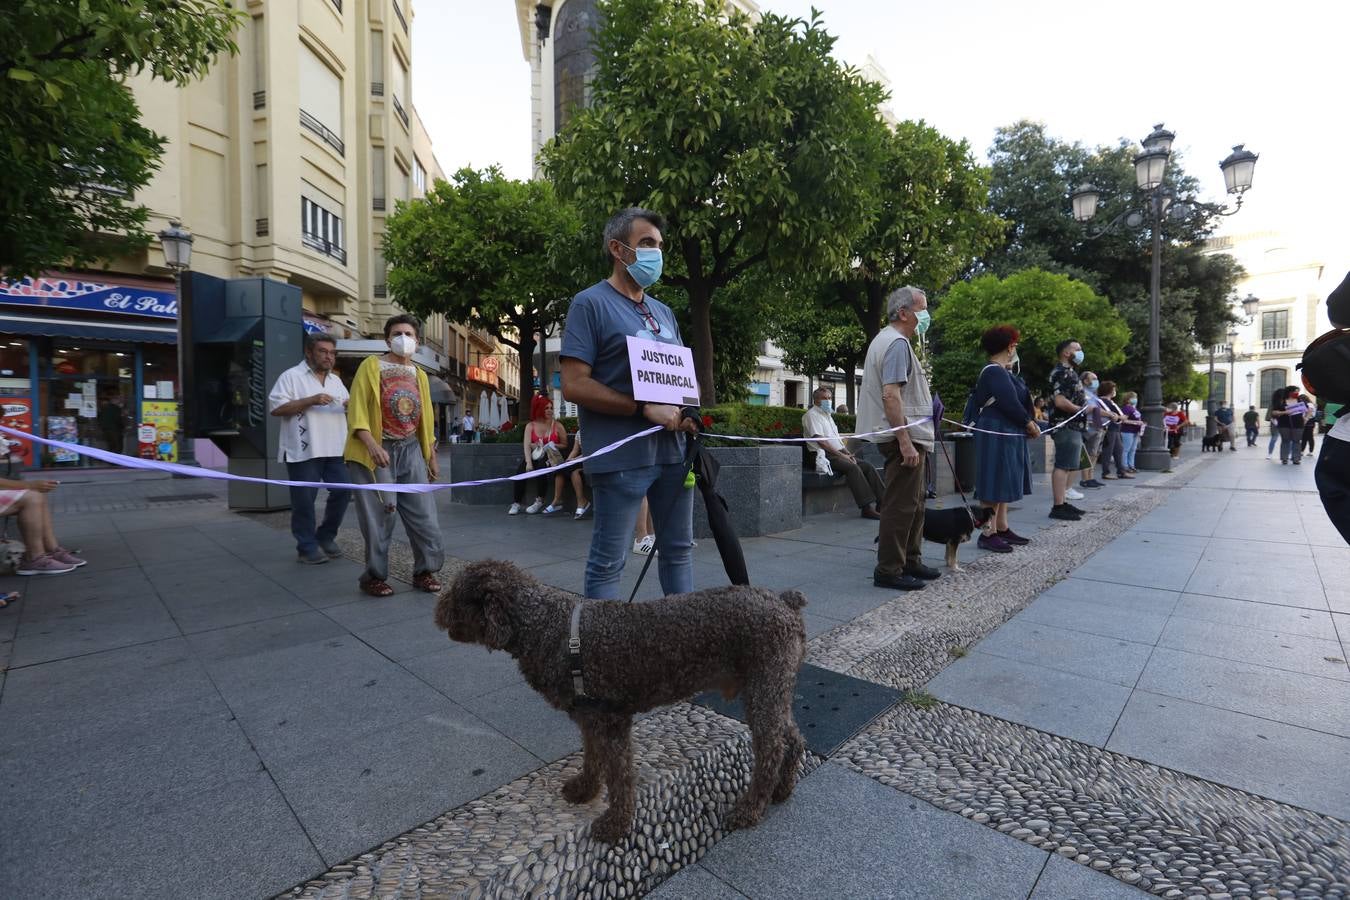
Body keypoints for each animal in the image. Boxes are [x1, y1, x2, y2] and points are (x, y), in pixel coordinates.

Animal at [437, 558, 804, 847]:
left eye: (457, 594)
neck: (545, 627)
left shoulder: (612, 722)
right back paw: (783, 788)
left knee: (771, 748)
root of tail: (784, 602)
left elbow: (619, 777)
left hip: (763, 688)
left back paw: (751, 807)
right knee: (792, 738)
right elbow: (592, 758)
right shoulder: (589, 718)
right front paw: (585, 789)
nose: (437, 610)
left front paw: (616, 824)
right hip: (772, 690)